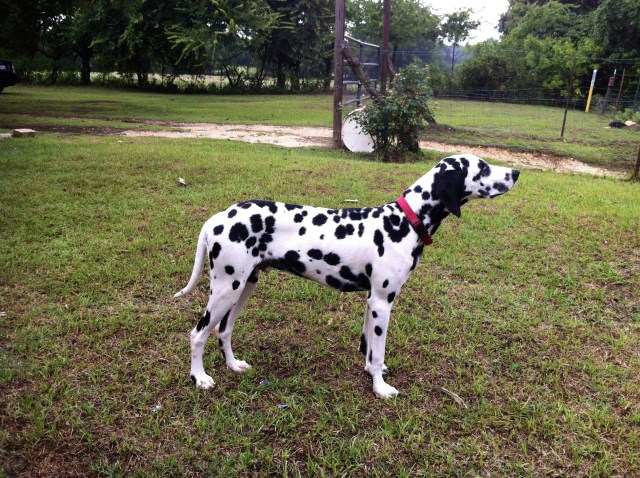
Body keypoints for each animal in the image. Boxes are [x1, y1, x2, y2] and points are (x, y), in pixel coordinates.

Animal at [175, 155, 520, 398]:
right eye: (483, 167)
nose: (516, 173)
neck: (403, 221)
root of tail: (217, 218)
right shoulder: (382, 303)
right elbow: (378, 352)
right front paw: (381, 389)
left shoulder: (372, 302)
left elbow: (369, 349)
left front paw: (371, 374)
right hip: (226, 289)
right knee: (199, 333)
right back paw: (199, 377)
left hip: (244, 286)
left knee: (224, 330)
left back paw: (233, 365)